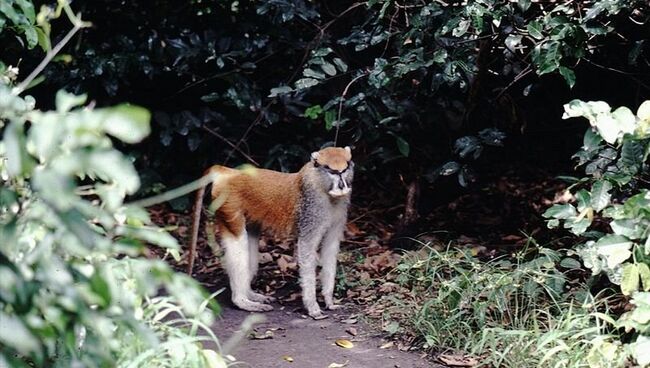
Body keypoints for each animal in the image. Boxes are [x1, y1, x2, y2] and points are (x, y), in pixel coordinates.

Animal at [185, 145, 352, 318]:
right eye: (332, 172)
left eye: (344, 170)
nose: (342, 186)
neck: (320, 184)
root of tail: (229, 172)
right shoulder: (312, 212)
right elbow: (306, 248)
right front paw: (313, 307)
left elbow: (330, 248)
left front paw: (329, 301)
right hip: (228, 205)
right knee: (238, 242)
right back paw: (242, 301)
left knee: (250, 241)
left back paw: (251, 294)